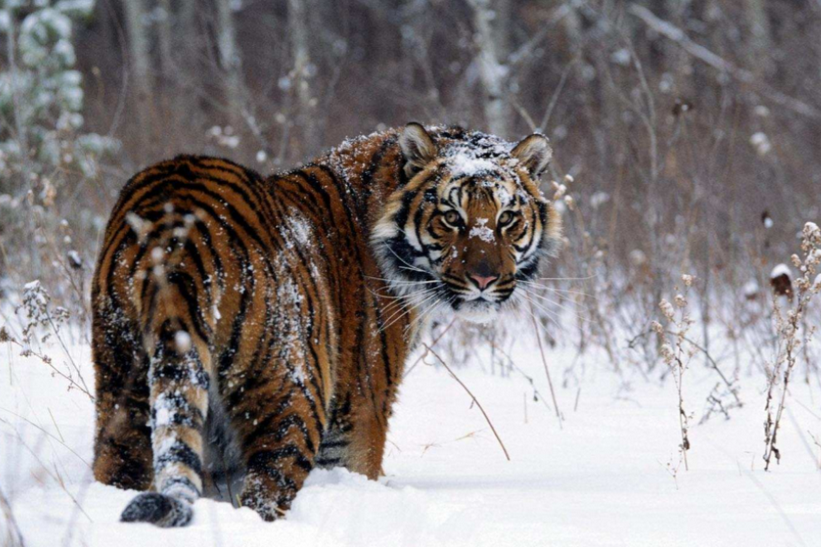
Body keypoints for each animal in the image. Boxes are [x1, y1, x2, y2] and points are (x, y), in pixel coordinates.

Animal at [91, 123, 562, 527]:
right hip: (293, 397)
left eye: (506, 219)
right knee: (265, 494)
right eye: (451, 217)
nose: (484, 279)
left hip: (123, 385)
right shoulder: (359, 411)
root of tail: (176, 231)